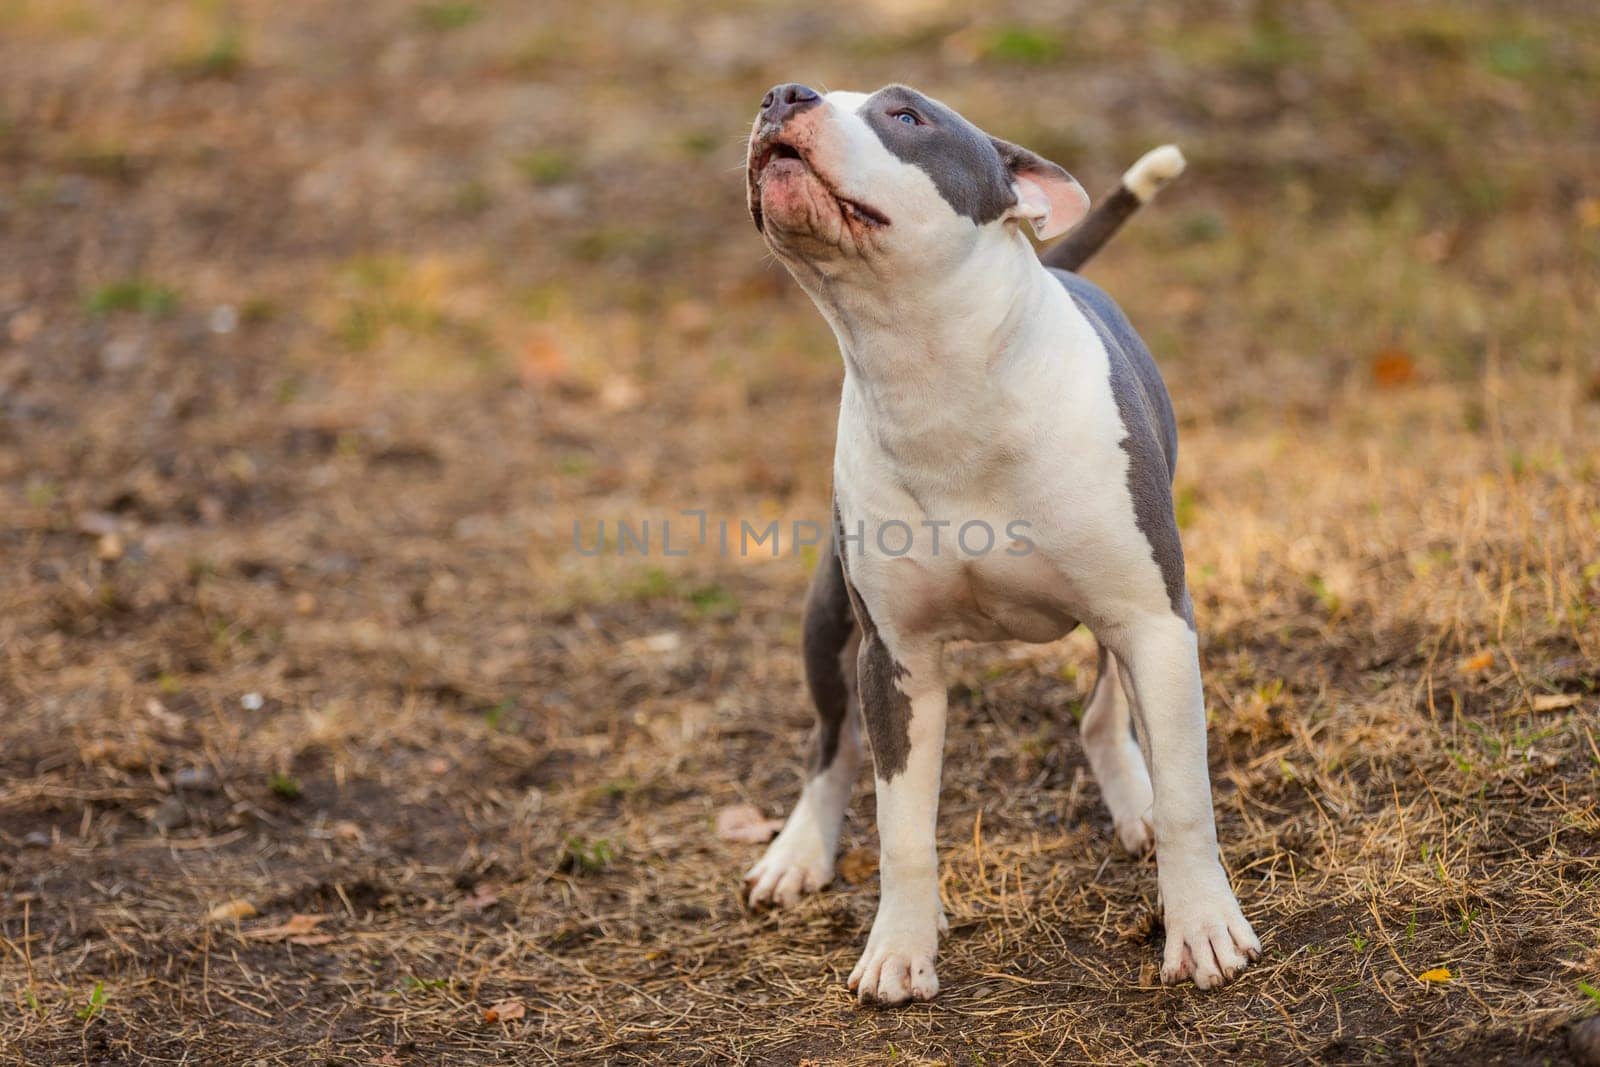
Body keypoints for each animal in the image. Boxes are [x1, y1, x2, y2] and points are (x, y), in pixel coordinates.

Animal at [739, 81, 1260, 1004]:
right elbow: (903, 824)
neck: (933, 376)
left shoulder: (1156, 618)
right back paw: (797, 851)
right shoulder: (897, 657)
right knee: (830, 744)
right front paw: (899, 948)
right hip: (828, 616)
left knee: (1107, 713)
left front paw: (1203, 926)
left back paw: (1137, 804)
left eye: (906, 116)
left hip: (1136, 616)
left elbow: (1190, 794)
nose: (782, 95)